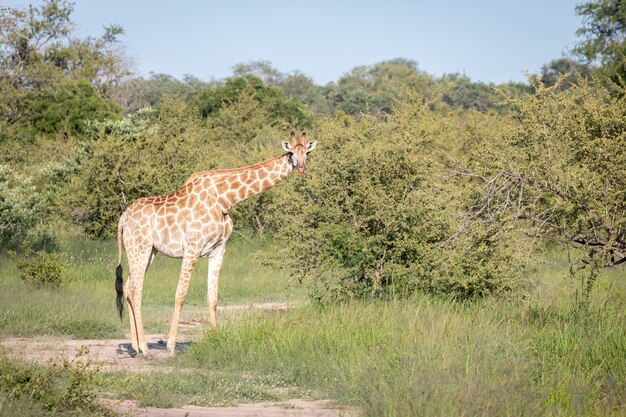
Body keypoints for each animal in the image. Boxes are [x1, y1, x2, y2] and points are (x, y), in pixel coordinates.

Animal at [114, 132, 314, 352]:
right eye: (291, 153)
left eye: (307, 153)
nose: (301, 169)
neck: (225, 198)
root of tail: (123, 219)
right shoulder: (192, 247)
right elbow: (180, 295)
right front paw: (171, 345)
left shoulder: (218, 249)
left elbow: (213, 297)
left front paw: (216, 336)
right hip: (139, 247)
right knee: (135, 290)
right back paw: (144, 347)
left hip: (147, 251)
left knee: (129, 287)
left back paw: (135, 346)